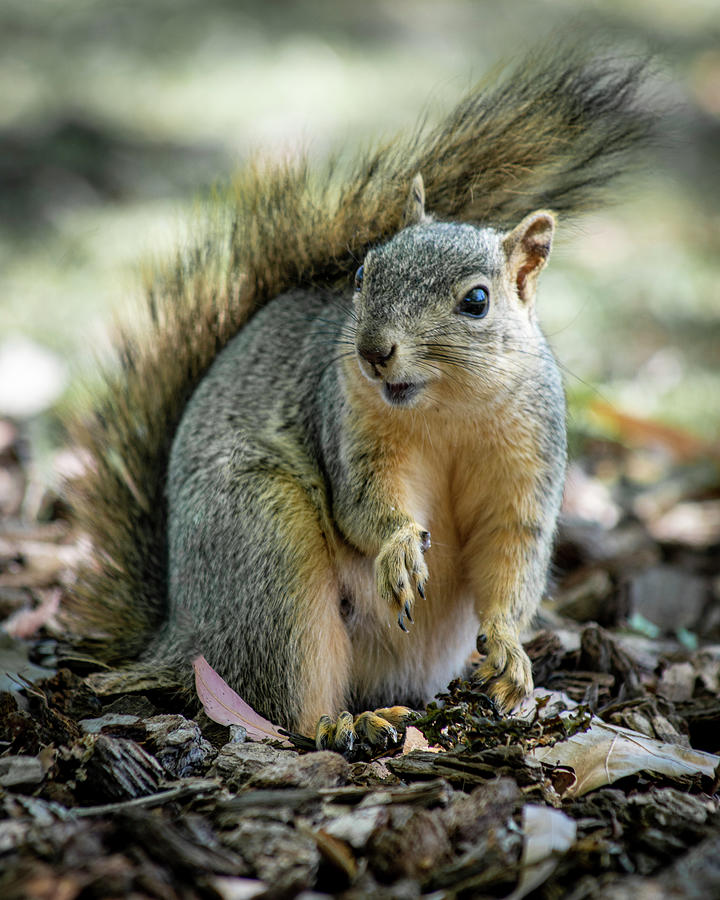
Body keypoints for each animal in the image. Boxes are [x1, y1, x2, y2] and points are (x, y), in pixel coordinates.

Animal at [70, 49, 656, 752]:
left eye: (477, 301)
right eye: (360, 273)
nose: (374, 351)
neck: (446, 409)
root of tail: (176, 638)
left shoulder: (529, 460)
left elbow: (512, 553)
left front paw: (511, 653)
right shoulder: (351, 425)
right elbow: (362, 505)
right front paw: (401, 545)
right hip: (267, 546)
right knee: (284, 703)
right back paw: (350, 724)